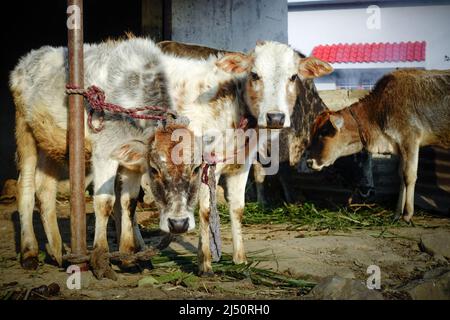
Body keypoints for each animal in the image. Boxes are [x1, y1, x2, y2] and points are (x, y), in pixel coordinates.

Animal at [306, 69, 450, 221]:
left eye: (324, 132)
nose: (309, 162)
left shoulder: (410, 140)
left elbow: (409, 176)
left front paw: (407, 214)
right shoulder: (399, 145)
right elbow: (401, 177)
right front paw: (397, 213)